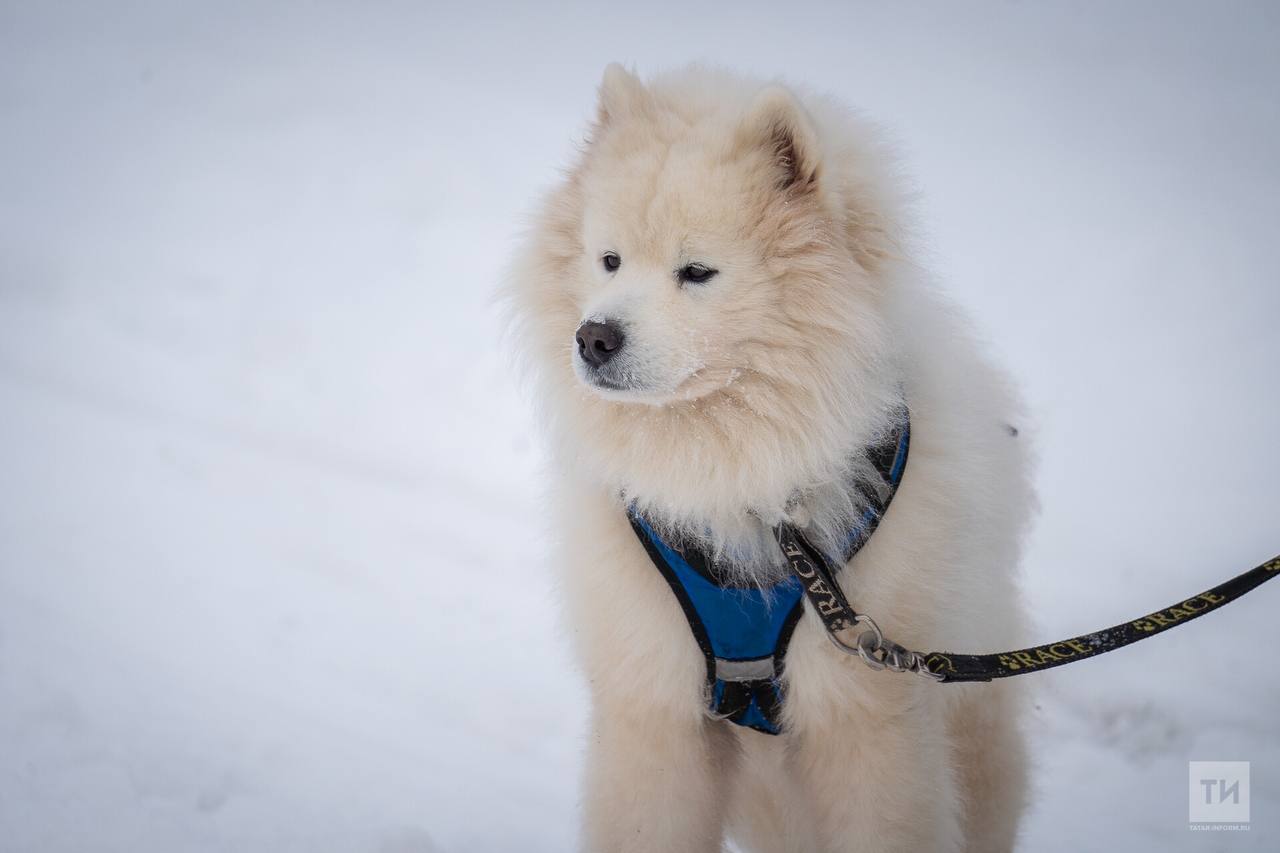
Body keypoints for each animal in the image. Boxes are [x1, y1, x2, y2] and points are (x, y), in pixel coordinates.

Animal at [504, 63, 1034, 845]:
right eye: (609, 261)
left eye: (696, 271)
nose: (593, 337)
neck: (740, 484)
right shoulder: (652, 702)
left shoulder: (868, 713)